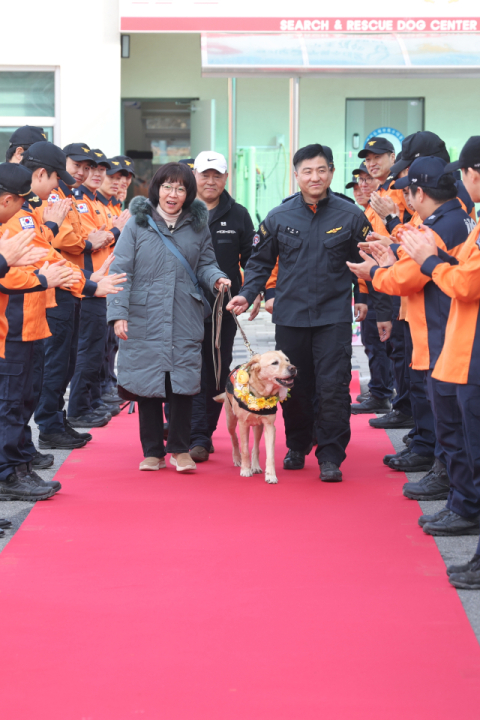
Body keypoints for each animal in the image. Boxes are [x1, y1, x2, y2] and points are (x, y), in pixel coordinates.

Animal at [215, 350, 296, 484]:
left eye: (287, 360)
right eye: (274, 363)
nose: (293, 368)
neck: (260, 393)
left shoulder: (269, 426)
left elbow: (270, 455)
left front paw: (271, 475)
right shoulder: (243, 424)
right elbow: (245, 450)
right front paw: (245, 470)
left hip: (258, 426)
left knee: (256, 447)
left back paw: (255, 466)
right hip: (230, 420)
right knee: (234, 438)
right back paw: (237, 458)